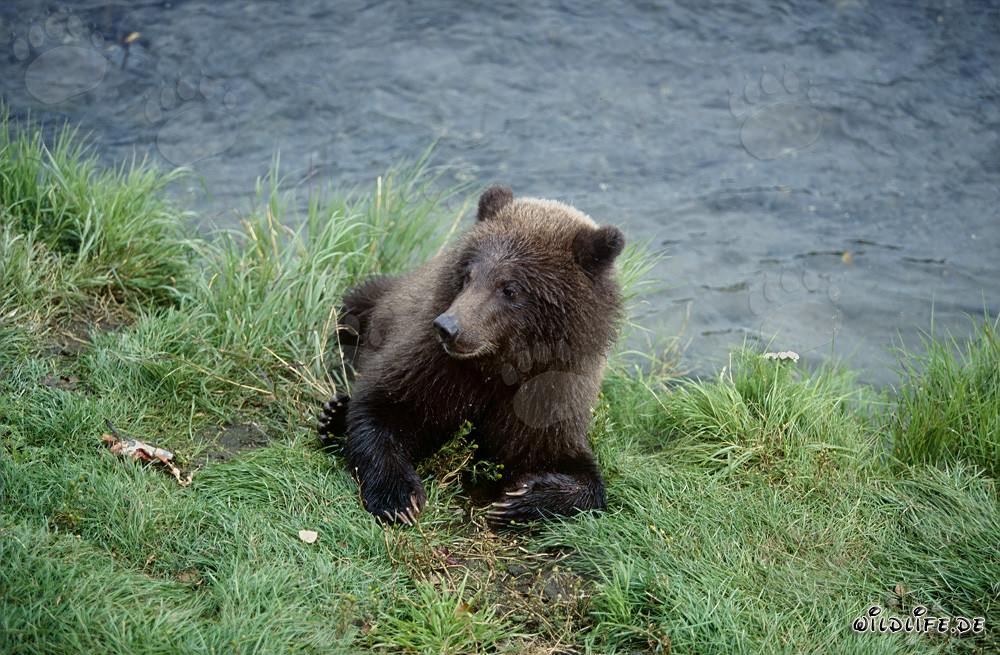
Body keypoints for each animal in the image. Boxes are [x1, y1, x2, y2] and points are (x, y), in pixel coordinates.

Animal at [318, 184, 625, 525]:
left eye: (510, 288)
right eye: (468, 275)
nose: (448, 327)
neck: (500, 364)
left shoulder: (550, 391)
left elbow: (576, 471)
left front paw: (520, 498)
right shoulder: (431, 364)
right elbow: (382, 409)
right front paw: (399, 499)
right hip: (374, 303)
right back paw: (332, 414)